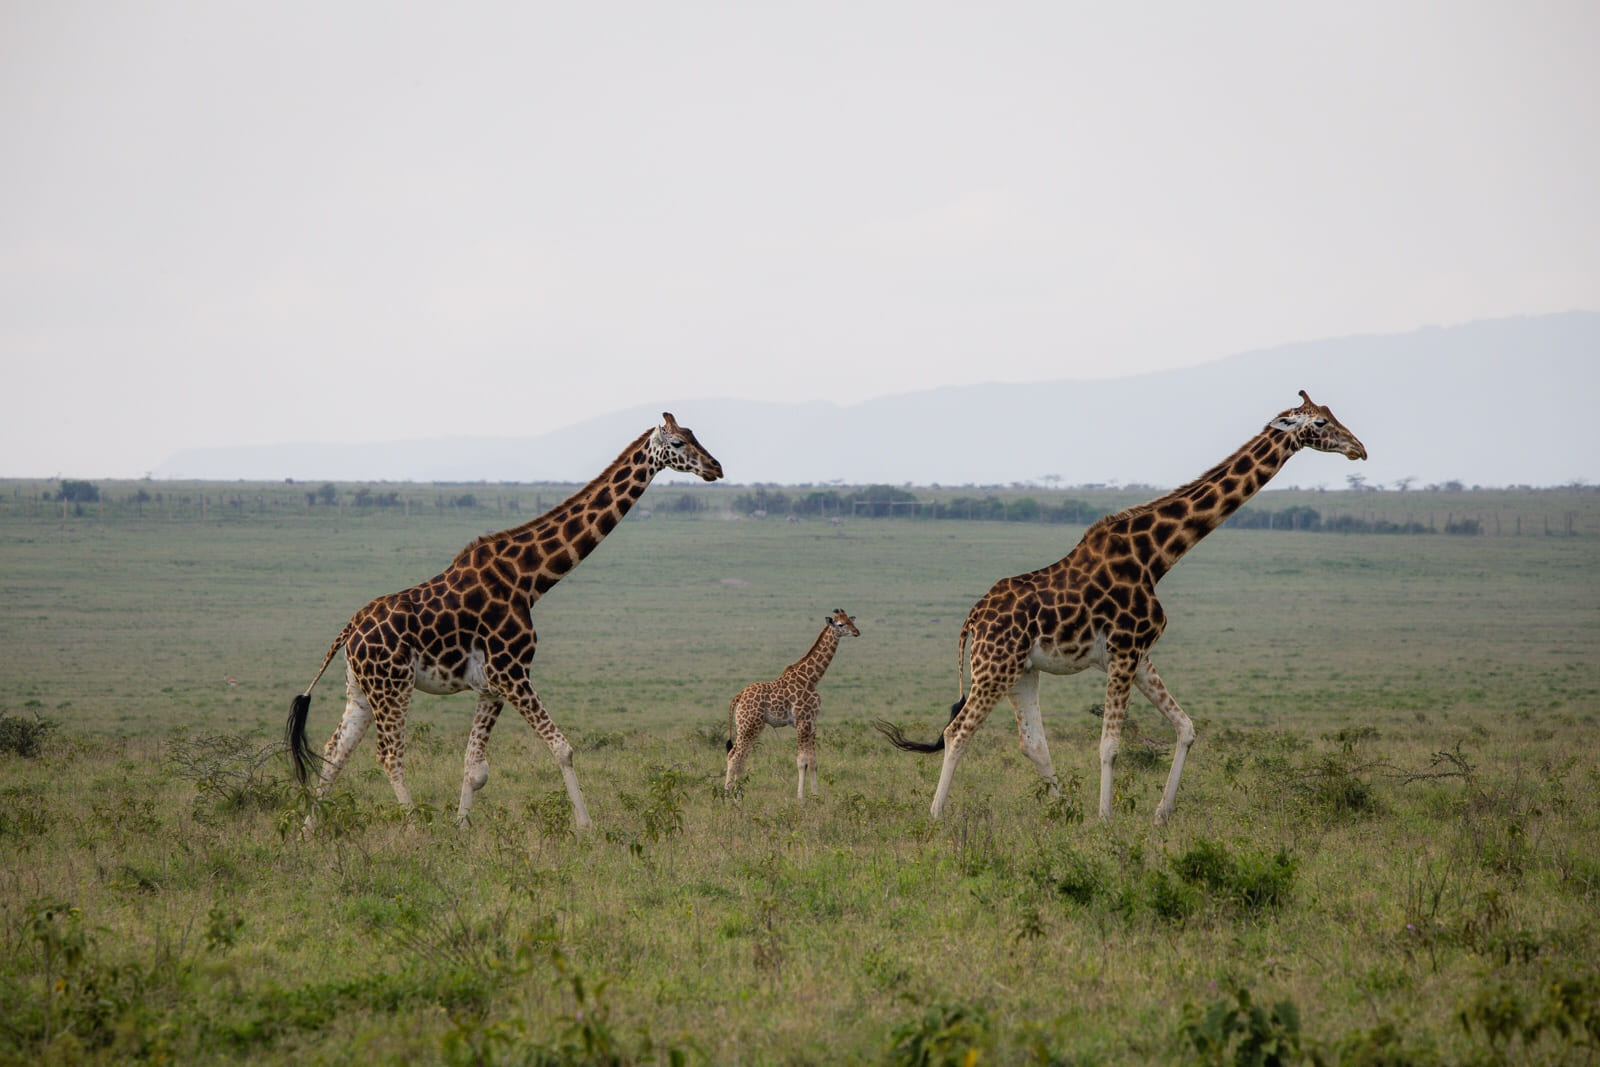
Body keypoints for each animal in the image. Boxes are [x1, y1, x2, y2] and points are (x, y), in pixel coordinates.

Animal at [285, 413, 723, 833]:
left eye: (694, 434)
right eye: (678, 442)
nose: (715, 467)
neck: (528, 579)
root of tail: (349, 630)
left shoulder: (490, 686)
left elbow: (474, 767)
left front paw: (462, 828)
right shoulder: (512, 672)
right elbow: (562, 747)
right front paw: (586, 826)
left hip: (361, 691)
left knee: (334, 751)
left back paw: (308, 829)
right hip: (392, 686)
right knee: (389, 756)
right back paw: (414, 829)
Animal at [724, 608, 861, 798]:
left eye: (851, 620)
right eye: (841, 624)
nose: (857, 632)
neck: (812, 678)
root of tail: (739, 696)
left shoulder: (812, 722)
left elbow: (813, 761)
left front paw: (816, 796)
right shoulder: (802, 721)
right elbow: (801, 761)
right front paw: (800, 798)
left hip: (745, 726)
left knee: (737, 756)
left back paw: (735, 795)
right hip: (750, 726)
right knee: (735, 757)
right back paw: (729, 797)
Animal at [875, 390, 1366, 824]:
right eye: (1319, 422)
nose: (1359, 449)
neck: (1156, 557)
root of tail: (972, 619)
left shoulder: (1138, 654)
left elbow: (1186, 727)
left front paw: (1160, 813)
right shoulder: (1125, 650)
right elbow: (1110, 745)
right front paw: (1106, 819)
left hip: (1022, 671)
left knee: (1032, 742)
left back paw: (1064, 810)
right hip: (995, 666)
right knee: (958, 731)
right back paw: (937, 815)